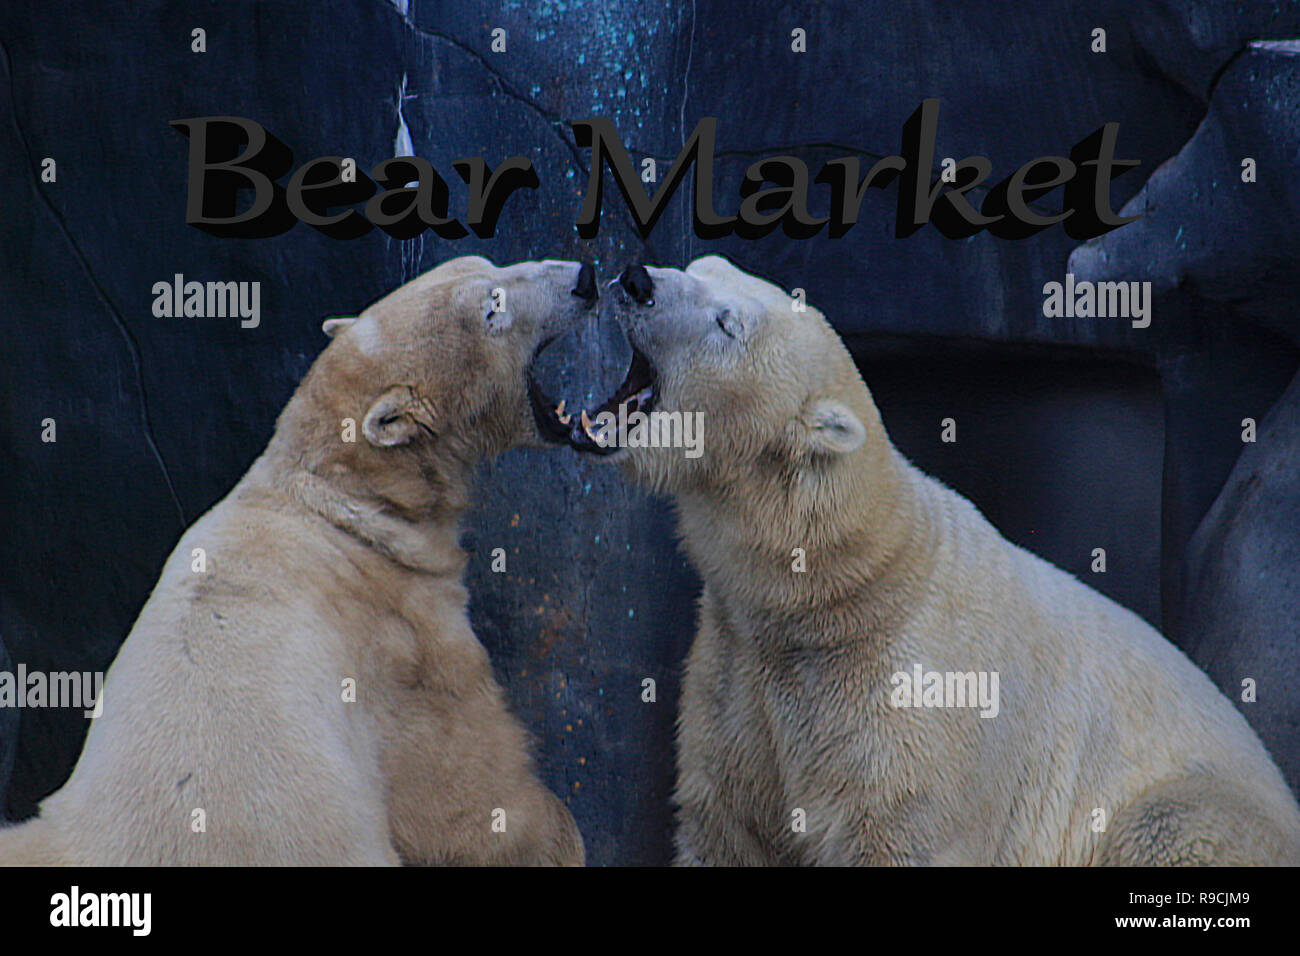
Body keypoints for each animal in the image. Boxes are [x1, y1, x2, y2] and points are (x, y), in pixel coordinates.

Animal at [0, 255, 596, 866]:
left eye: (487, 263)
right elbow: (470, 794)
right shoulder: (403, 637)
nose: (584, 277)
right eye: (491, 307)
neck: (340, 498)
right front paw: (556, 835)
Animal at [545, 254, 1300, 865]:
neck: (843, 582)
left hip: (1193, 805)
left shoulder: (909, 700)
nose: (636, 280)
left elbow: (897, 830)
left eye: (727, 322)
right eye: (698, 263)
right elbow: (730, 826)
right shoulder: (739, 677)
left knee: (1170, 824)